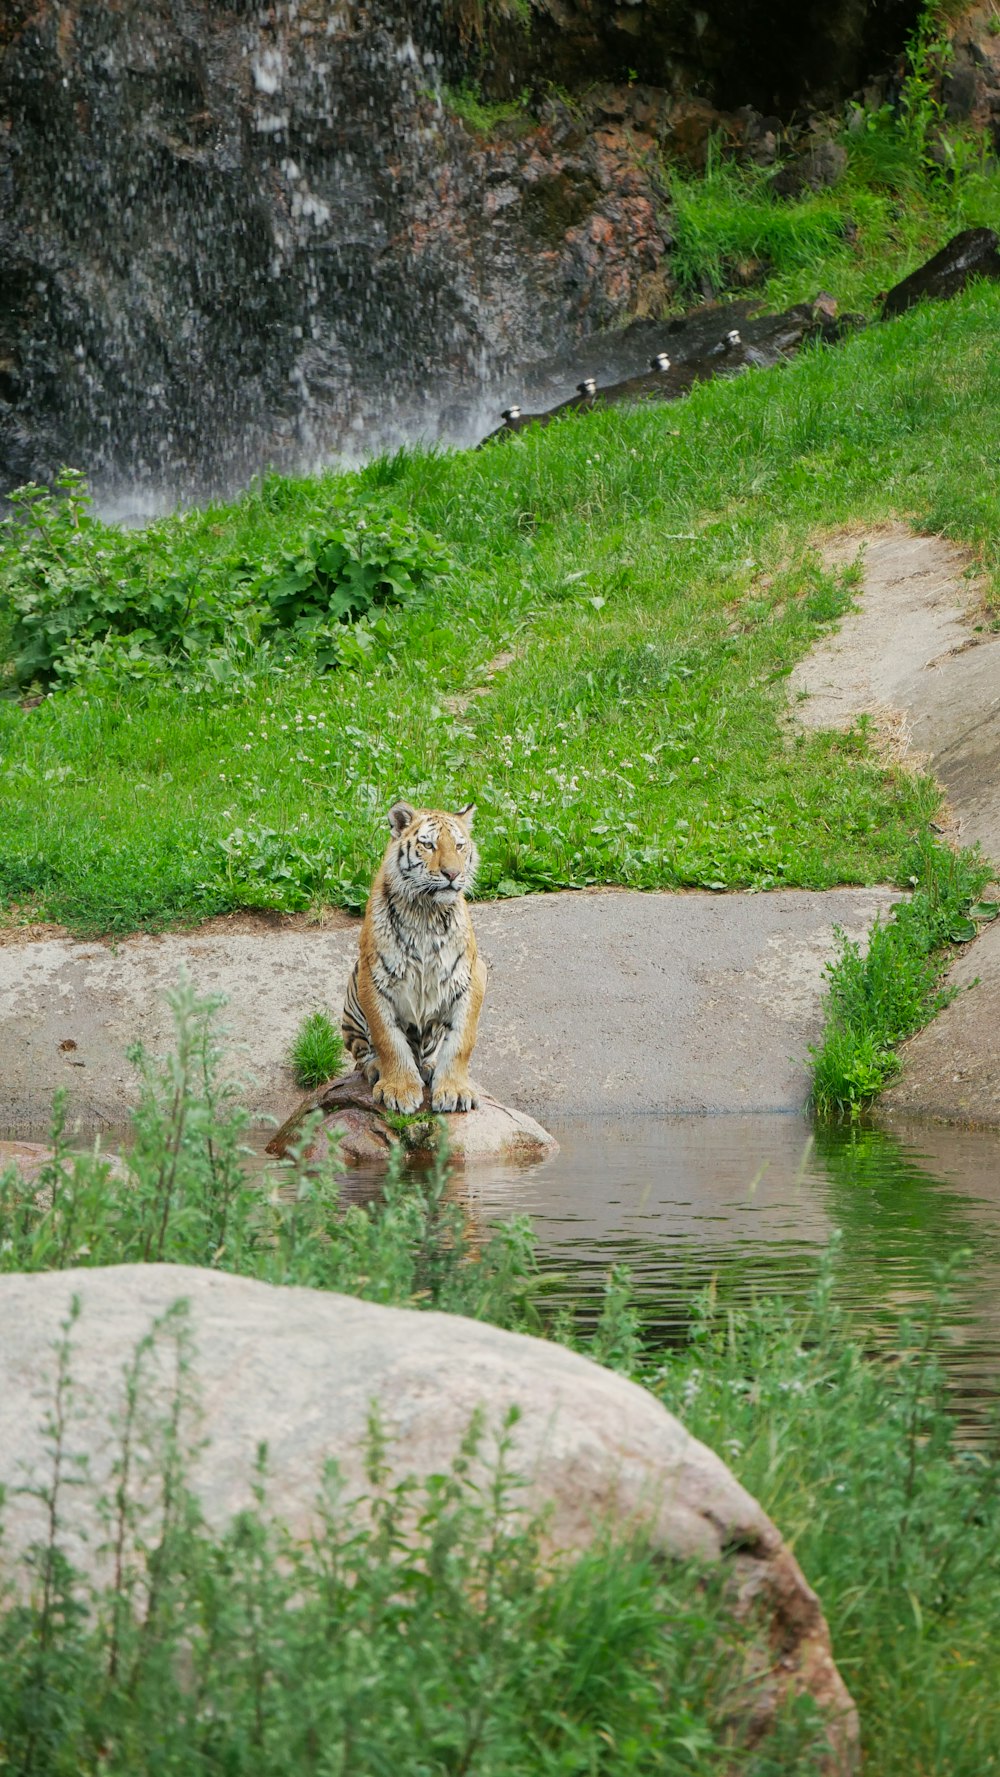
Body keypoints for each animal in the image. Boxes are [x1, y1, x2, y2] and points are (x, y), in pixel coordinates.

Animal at [341, 803, 490, 1108]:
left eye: (459, 846)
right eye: (429, 845)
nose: (452, 874)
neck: (426, 912)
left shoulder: (471, 977)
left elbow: (461, 1041)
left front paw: (455, 1091)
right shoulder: (374, 980)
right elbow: (389, 1040)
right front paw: (399, 1089)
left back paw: (430, 1067)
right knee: (363, 1053)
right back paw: (376, 1069)